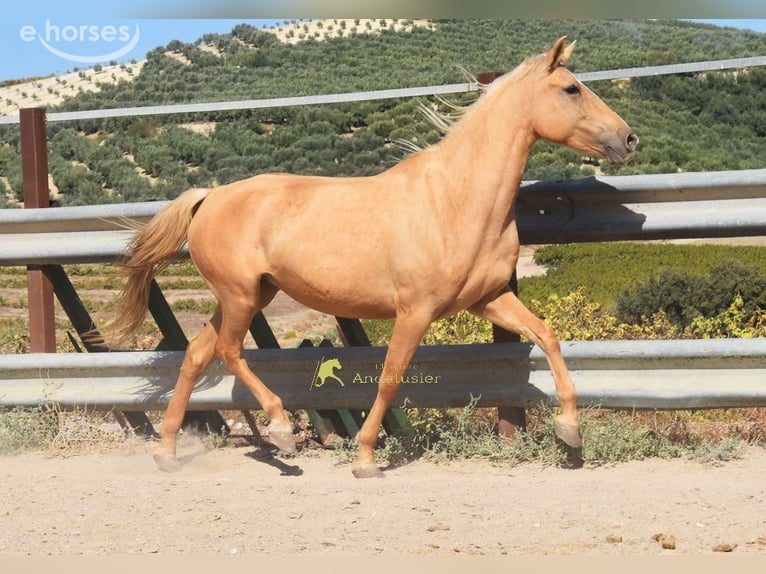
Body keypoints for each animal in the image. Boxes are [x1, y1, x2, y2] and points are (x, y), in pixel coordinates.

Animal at [109, 37, 637, 478]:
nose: (628, 139)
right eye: (571, 89)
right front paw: (365, 459)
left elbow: (548, 336)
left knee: (198, 354)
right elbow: (389, 378)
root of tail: (210, 196)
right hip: (239, 295)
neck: (456, 199)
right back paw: (280, 430)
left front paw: (570, 431)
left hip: (251, 294)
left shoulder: (487, 299)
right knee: (227, 351)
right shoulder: (415, 310)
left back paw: (168, 451)